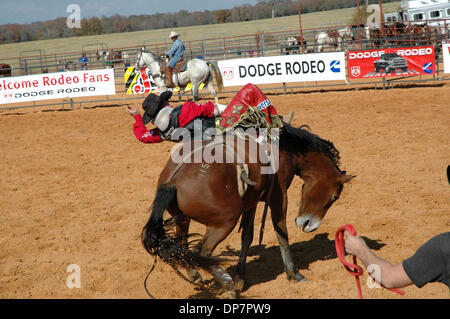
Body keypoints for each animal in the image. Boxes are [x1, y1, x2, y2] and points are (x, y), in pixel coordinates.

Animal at [141, 124, 356, 298]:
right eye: (334, 197)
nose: (308, 225)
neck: (286, 148)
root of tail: (174, 180)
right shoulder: (278, 195)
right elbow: (281, 232)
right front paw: (293, 273)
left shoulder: (251, 202)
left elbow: (247, 236)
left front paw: (241, 277)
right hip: (224, 222)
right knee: (201, 251)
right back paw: (226, 284)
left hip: (182, 218)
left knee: (183, 247)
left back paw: (197, 275)